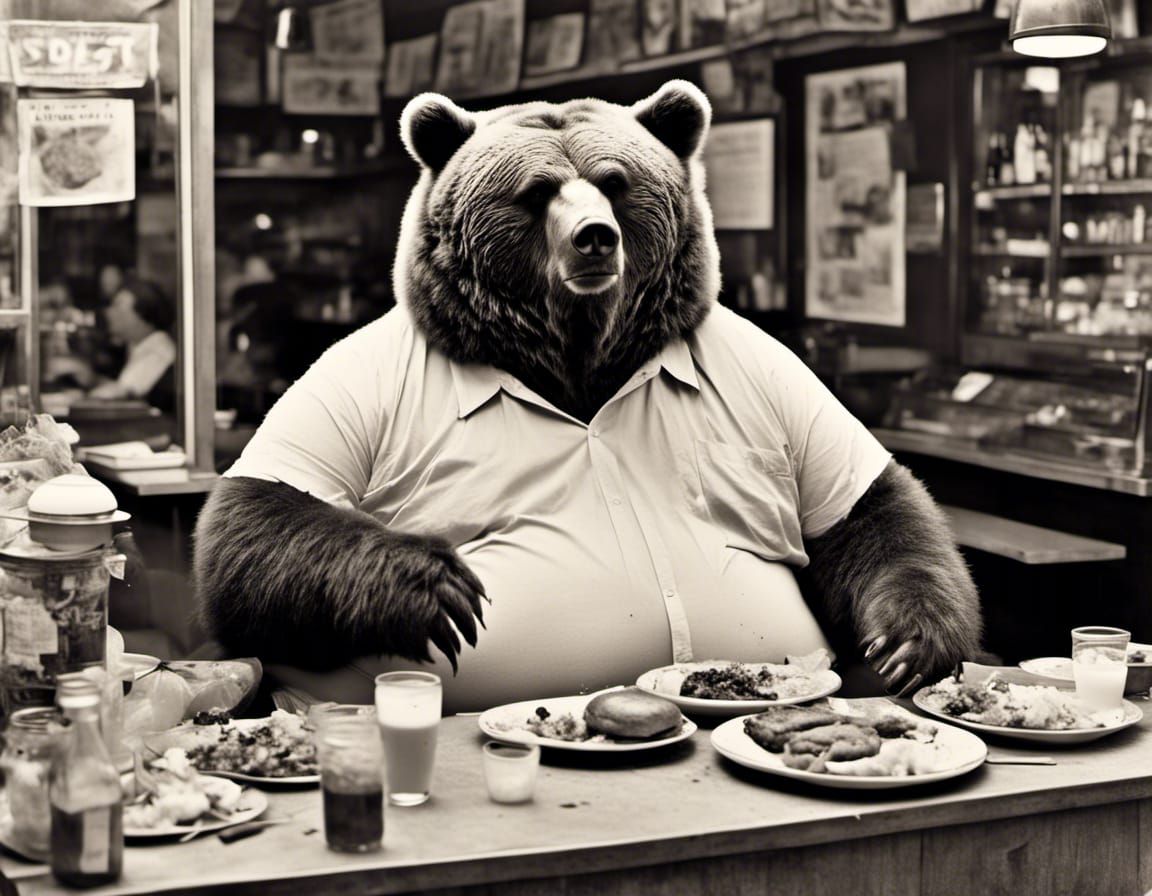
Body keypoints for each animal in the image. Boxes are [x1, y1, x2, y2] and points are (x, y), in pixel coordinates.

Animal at [194, 81, 981, 712]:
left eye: (615, 181)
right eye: (538, 191)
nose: (594, 237)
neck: (575, 358)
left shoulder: (774, 375)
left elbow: (869, 507)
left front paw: (911, 642)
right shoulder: (359, 386)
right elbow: (251, 525)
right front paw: (440, 589)